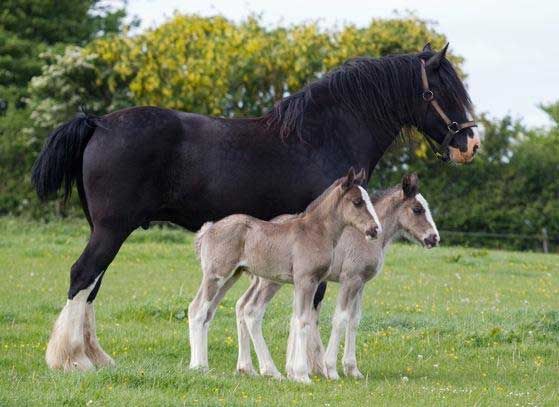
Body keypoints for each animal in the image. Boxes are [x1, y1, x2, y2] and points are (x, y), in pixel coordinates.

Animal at [191, 168, 380, 382]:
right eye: (357, 201)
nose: (375, 230)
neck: (315, 232)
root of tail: (208, 230)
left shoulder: (308, 282)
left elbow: (298, 320)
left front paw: (295, 373)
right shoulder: (306, 280)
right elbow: (303, 321)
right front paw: (302, 375)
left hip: (231, 277)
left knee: (209, 313)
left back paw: (209, 366)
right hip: (216, 275)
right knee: (197, 309)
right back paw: (197, 367)